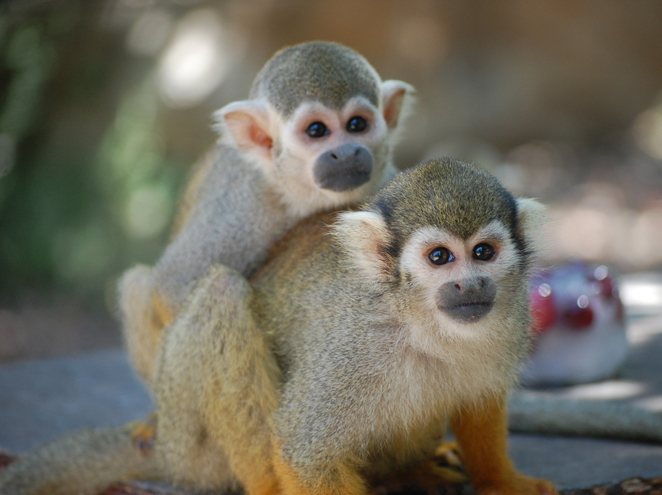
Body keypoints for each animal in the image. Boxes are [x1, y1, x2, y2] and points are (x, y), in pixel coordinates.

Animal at [0, 159, 560, 495]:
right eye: (440, 258)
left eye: (483, 252)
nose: (469, 285)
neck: (420, 320)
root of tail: (165, 447)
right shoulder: (351, 353)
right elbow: (303, 451)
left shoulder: (510, 319)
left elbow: (480, 404)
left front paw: (502, 480)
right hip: (195, 446)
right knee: (222, 296)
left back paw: (408, 470)